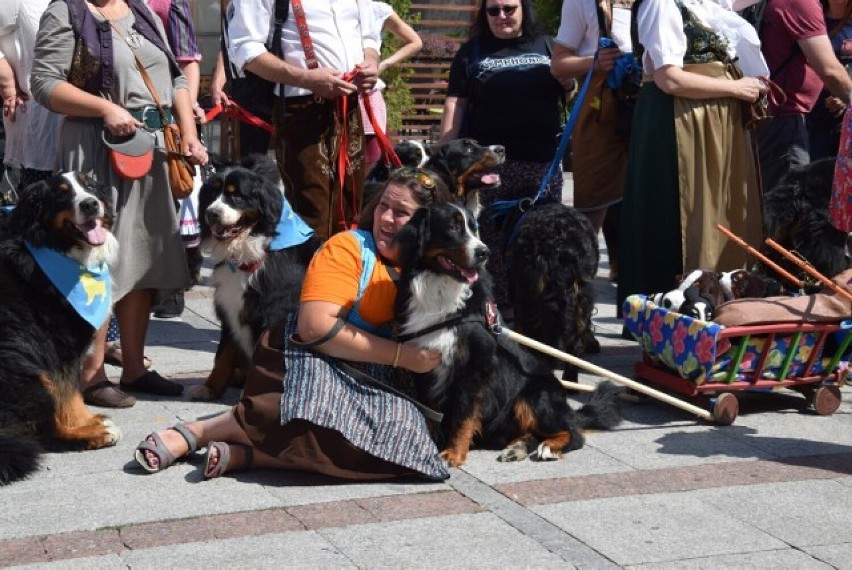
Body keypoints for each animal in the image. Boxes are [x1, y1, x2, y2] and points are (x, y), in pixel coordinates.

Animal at [0, 172, 121, 484]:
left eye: (90, 186)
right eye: (62, 194)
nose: (90, 204)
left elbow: (72, 392)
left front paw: (87, 420)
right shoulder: (59, 347)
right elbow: (70, 393)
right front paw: (89, 426)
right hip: (25, 374)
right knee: (44, 433)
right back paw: (93, 436)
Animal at [186, 153, 320, 398]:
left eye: (236, 195)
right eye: (212, 194)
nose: (212, 213)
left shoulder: (269, 310)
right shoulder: (230, 306)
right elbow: (223, 355)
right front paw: (210, 388)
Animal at [392, 203, 620, 466]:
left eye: (473, 227)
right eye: (453, 227)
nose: (484, 252)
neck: (442, 291)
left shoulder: (475, 364)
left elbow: (463, 413)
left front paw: (453, 454)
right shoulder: (422, 362)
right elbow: (429, 410)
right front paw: (429, 442)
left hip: (534, 394)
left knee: (573, 431)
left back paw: (549, 447)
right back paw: (517, 448)